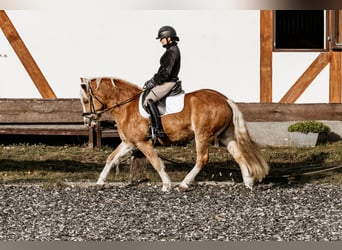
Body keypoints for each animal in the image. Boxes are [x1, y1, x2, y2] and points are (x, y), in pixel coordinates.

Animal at [79, 76, 268, 191]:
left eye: (86, 100)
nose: (88, 121)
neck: (126, 106)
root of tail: (225, 99)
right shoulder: (129, 142)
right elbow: (111, 158)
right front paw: (100, 182)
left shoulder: (143, 143)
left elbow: (156, 163)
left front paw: (166, 184)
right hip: (225, 136)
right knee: (238, 155)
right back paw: (248, 182)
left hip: (202, 135)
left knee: (202, 159)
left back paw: (184, 184)